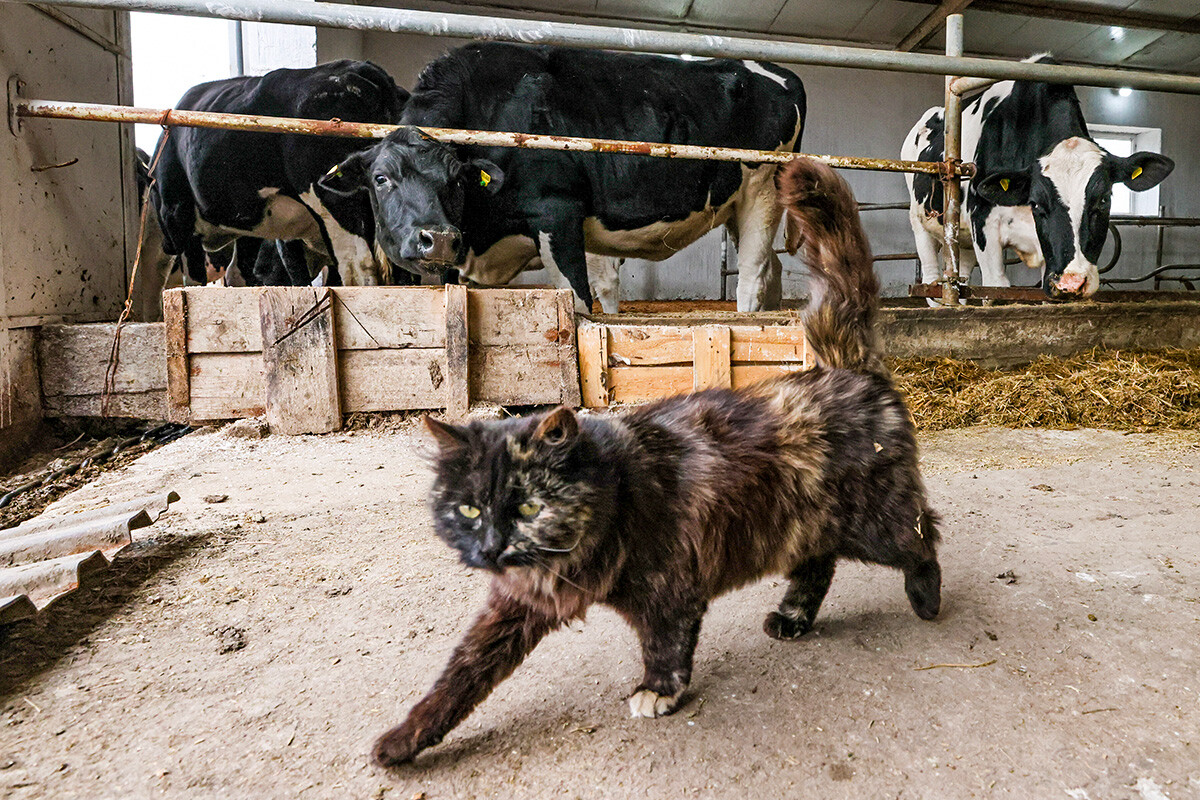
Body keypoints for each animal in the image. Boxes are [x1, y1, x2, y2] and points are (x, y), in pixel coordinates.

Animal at [148, 61, 412, 287]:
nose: (165, 245)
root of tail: (362, 69)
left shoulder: (178, 213)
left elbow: (193, 282)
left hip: (335, 202)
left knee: (358, 266)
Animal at [316, 42, 806, 311]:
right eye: (382, 178)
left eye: (456, 178)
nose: (436, 239)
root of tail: (775, 70)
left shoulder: (558, 212)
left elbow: (580, 303)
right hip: (737, 206)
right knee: (772, 268)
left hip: (762, 189)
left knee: (752, 277)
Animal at [374, 158, 936, 767]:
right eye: (470, 511)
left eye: (528, 507)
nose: (491, 548)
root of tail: (844, 366)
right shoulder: (515, 607)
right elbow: (462, 674)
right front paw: (405, 738)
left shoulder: (670, 587)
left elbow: (665, 643)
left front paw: (658, 691)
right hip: (803, 523)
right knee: (819, 565)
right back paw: (792, 618)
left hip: (878, 522)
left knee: (923, 538)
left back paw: (926, 598)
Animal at [902, 55, 1171, 299]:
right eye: (1037, 203)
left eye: (1104, 200)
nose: (1072, 282)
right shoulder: (983, 223)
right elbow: (995, 286)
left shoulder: (1049, 257)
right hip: (920, 223)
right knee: (930, 281)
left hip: (963, 239)